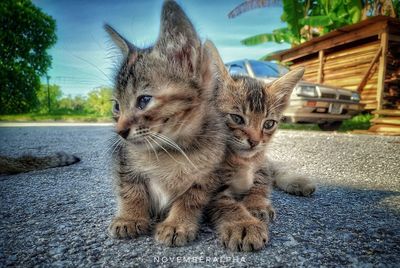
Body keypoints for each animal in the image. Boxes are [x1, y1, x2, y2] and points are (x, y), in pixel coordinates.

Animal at [104, 0, 227, 247]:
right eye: (116, 106)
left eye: (144, 100)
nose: (119, 132)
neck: (169, 150)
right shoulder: (124, 160)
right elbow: (129, 188)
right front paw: (130, 217)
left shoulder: (209, 174)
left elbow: (190, 198)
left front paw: (177, 223)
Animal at [206, 40, 312, 251]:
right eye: (237, 118)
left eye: (269, 124)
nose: (255, 141)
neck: (242, 160)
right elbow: (225, 203)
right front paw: (243, 224)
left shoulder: (260, 161)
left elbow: (261, 182)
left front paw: (256, 204)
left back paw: (298, 181)